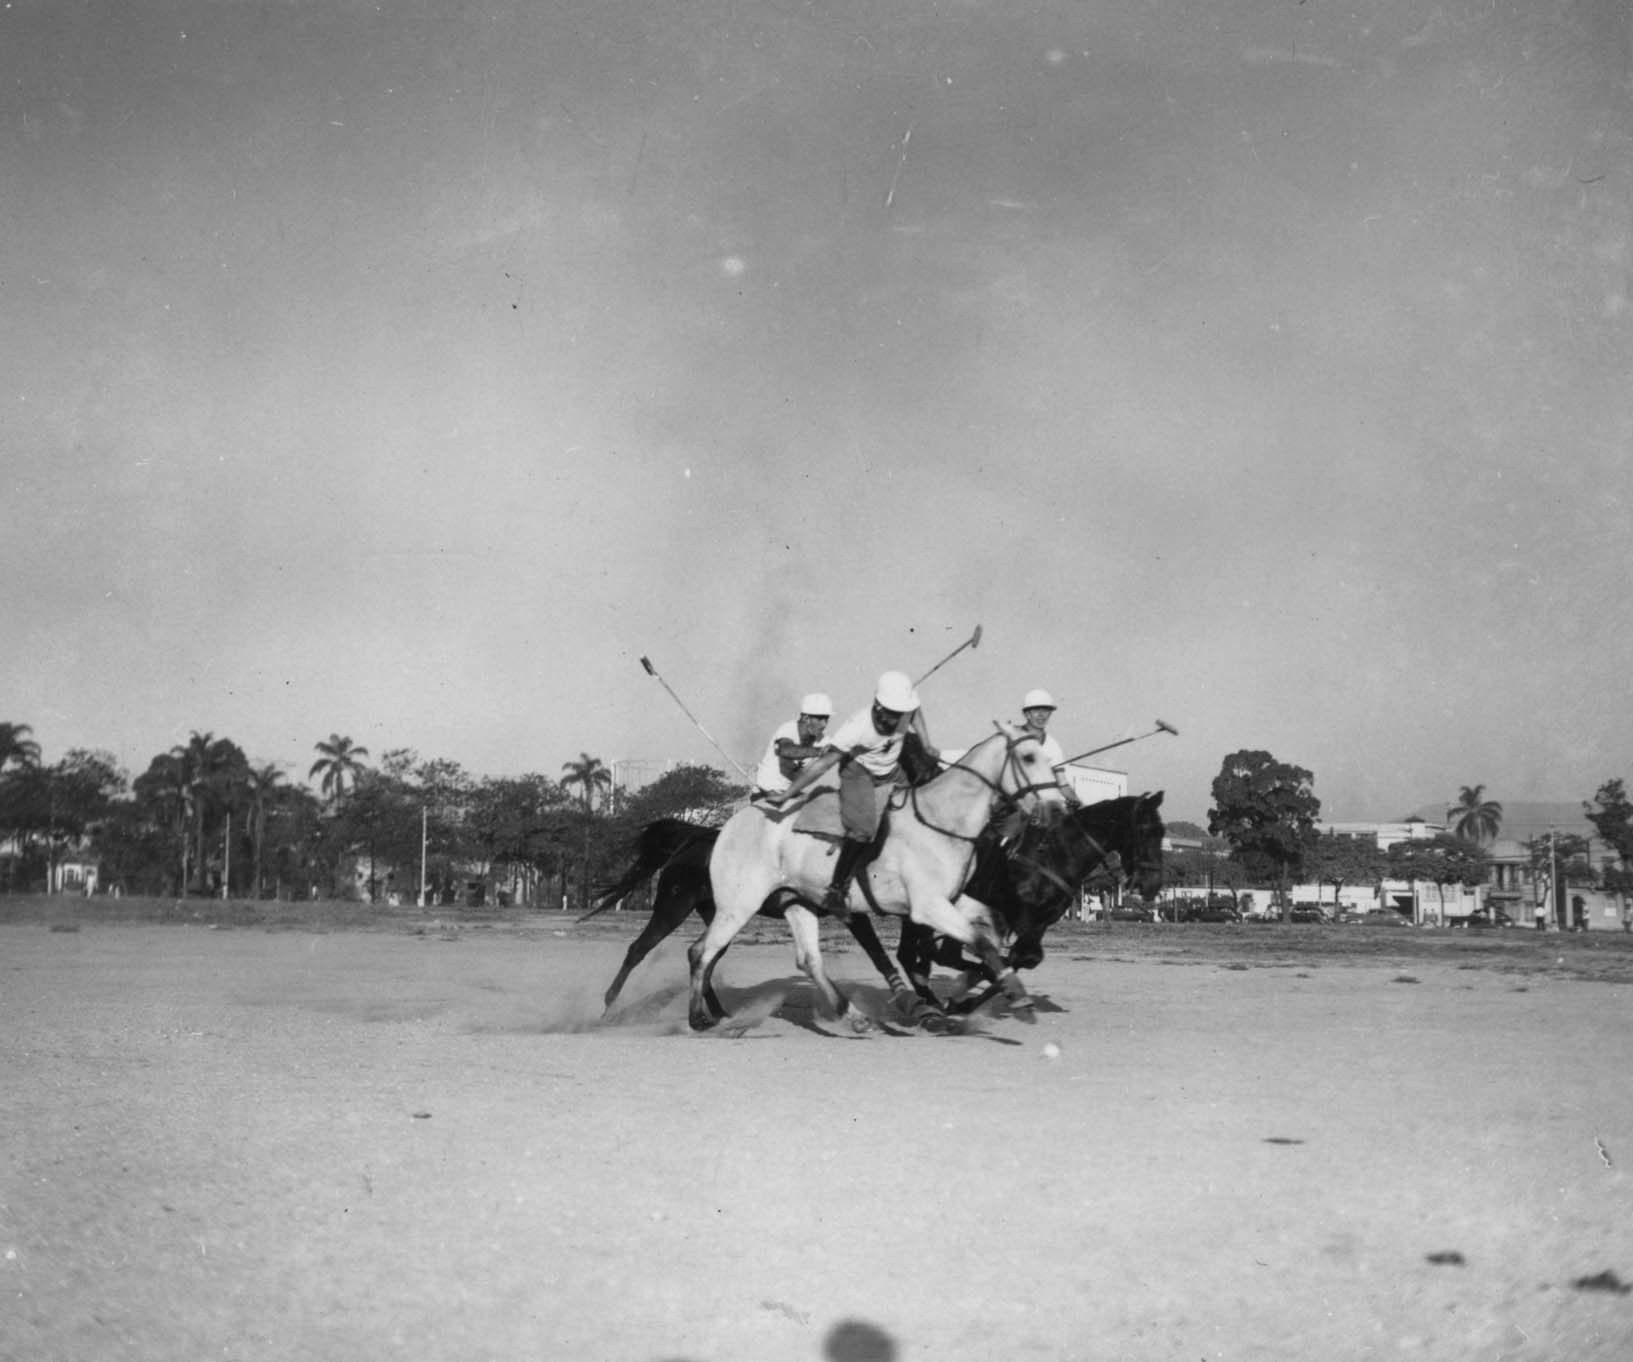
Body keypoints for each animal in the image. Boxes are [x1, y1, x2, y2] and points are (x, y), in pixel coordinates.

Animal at [689, 722, 1067, 1032]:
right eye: (1029, 757)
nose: (1058, 808)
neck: (941, 822)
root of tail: (734, 821)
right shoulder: (927, 908)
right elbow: (979, 943)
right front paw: (1014, 996)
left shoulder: (954, 901)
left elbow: (984, 934)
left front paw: (971, 988)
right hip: (738, 904)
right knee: (704, 951)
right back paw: (699, 1019)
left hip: (797, 902)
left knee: (808, 959)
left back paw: (854, 1015)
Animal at [895, 791, 1167, 1015]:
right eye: (1145, 830)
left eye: (1162, 832)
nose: (1153, 884)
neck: (1054, 855)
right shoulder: (1021, 918)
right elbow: (1016, 958)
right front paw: (970, 988)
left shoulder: (1040, 923)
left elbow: (1025, 958)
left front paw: (967, 994)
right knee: (912, 954)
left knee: (924, 954)